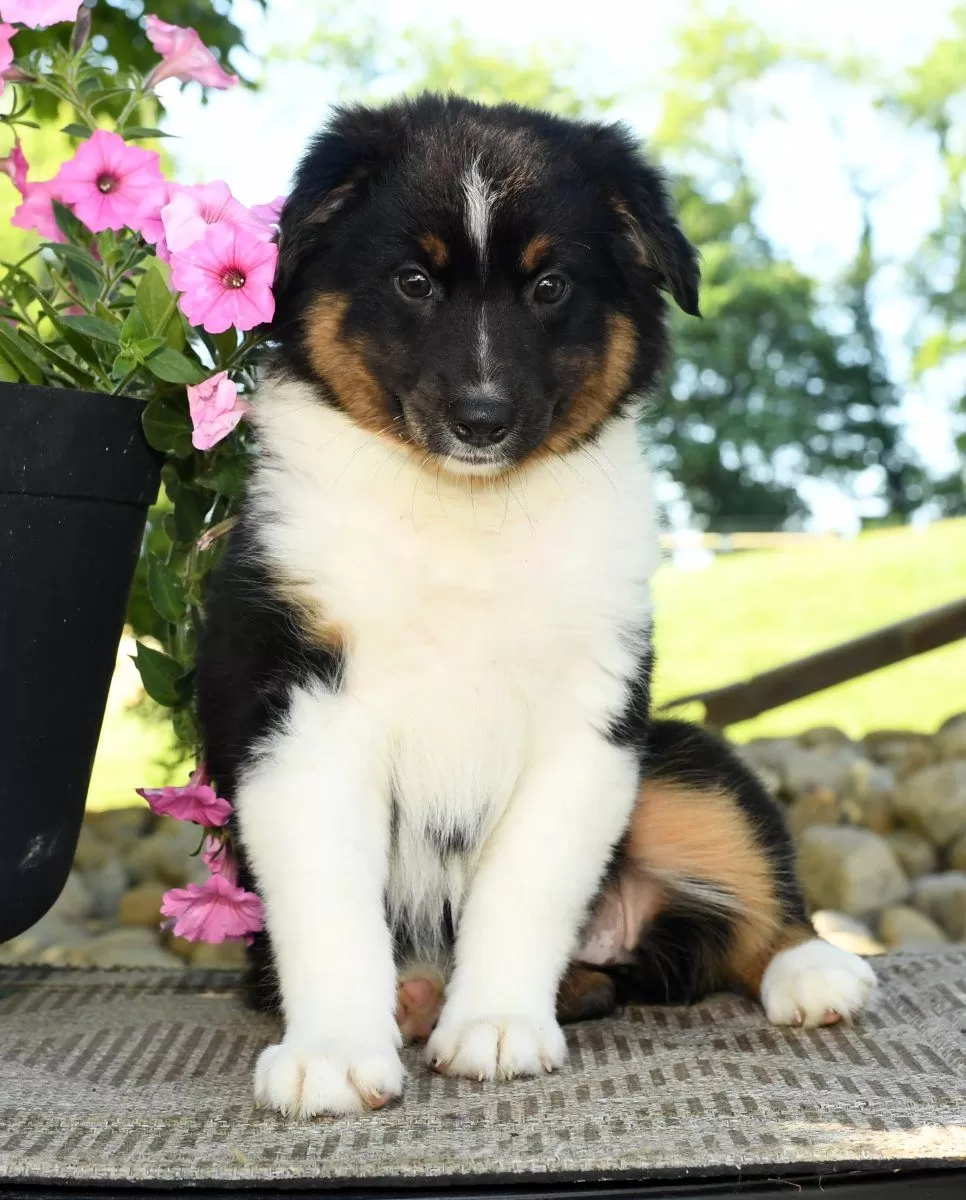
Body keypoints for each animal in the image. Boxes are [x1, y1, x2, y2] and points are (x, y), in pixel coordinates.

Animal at [198, 91, 873, 1113]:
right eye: (413, 281)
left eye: (551, 286)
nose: (482, 420)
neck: (467, 514)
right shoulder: (302, 708)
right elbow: (328, 898)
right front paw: (332, 1052)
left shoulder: (590, 716)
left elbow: (526, 881)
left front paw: (497, 1027)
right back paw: (417, 996)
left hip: (679, 761)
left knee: (755, 897)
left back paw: (815, 972)